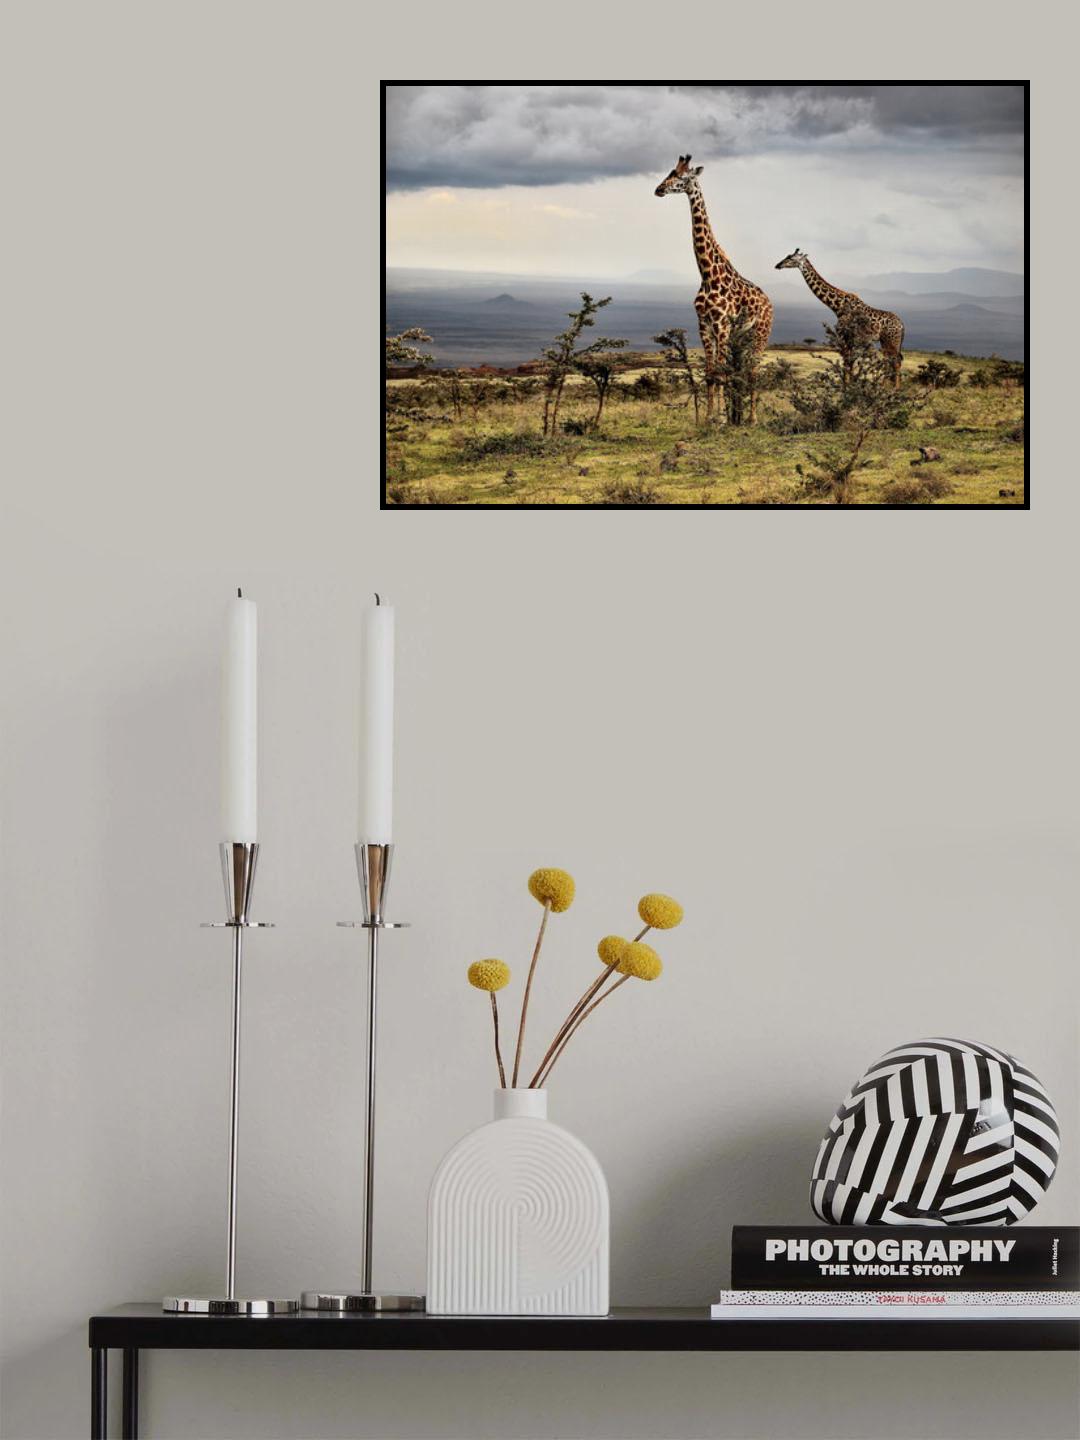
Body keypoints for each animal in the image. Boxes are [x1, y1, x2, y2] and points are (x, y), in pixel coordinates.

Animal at [654, 155, 773, 423]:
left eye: (682, 177)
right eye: (670, 172)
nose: (659, 189)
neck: (707, 275)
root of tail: (769, 302)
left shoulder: (721, 325)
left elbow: (719, 373)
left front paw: (719, 420)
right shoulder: (704, 325)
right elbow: (711, 374)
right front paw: (711, 418)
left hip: (760, 333)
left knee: (753, 370)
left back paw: (752, 419)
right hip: (741, 337)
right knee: (740, 370)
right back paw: (738, 417)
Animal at [775, 249, 905, 389]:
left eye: (791, 258)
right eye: (787, 256)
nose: (778, 265)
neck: (837, 306)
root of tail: (902, 325)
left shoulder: (843, 336)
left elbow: (847, 363)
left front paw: (846, 387)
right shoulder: (850, 339)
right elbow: (850, 363)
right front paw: (851, 385)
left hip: (892, 341)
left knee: (896, 361)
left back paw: (895, 388)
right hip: (885, 341)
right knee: (890, 360)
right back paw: (884, 386)